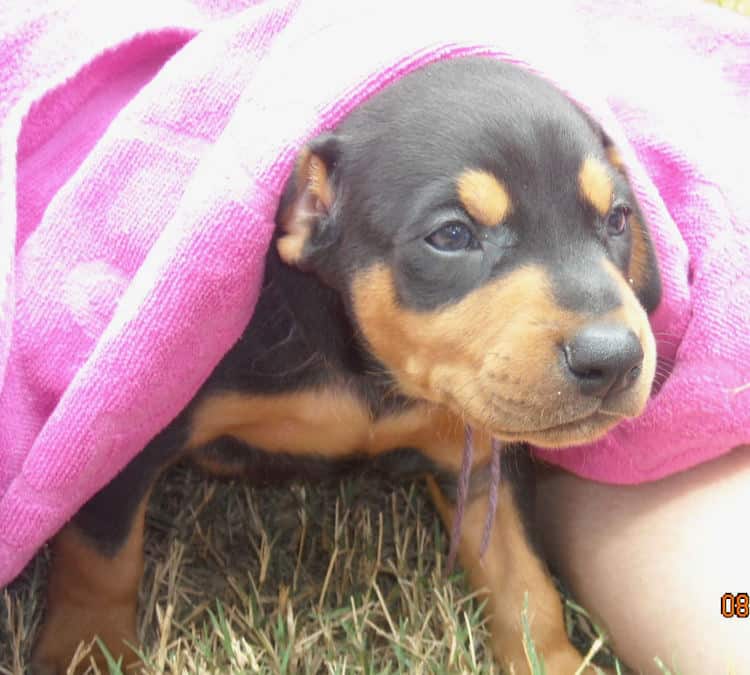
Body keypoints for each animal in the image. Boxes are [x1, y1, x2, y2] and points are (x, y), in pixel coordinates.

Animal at [32, 59, 660, 675]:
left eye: (617, 219)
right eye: (452, 234)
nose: (614, 358)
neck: (367, 371)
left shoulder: (482, 458)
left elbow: (525, 579)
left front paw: (554, 660)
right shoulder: (125, 428)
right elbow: (102, 558)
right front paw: (87, 653)